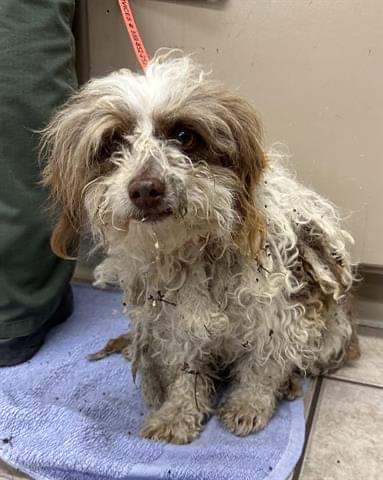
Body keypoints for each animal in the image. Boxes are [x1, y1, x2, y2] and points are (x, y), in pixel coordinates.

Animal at [40, 50, 362, 444]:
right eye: (113, 142)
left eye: (184, 135)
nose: (146, 189)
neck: (196, 251)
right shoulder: (177, 323)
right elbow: (185, 374)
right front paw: (178, 414)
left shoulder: (277, 313)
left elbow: (262, 368)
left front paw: (249, 406)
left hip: (330, 338)